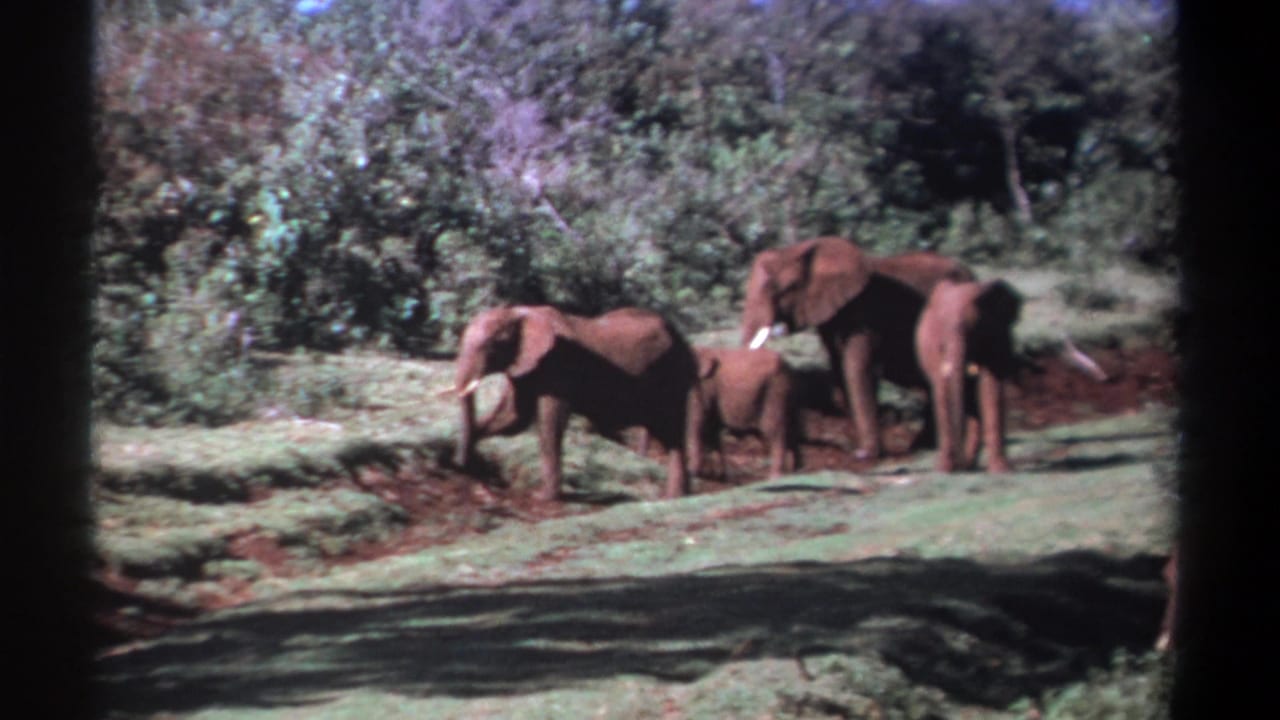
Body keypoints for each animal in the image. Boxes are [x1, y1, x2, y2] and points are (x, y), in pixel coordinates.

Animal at [453, 305, 700, 501]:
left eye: (492, 345)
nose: (462, 467)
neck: (519, 312)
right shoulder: (525, 366)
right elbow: (512, 418)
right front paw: (473, 455)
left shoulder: (558, 363)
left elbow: (550, 421)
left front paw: (543, 497)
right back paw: (676, 496)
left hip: (672, 374)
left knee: (671, 429)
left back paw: (674, 497)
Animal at [685, 346, 803, 480]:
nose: (692, 471)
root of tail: (788, 367)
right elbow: (712, 430)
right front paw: (722, 476)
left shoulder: (700, 388)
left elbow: (698, 424)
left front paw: (694, 473)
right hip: (787, 396)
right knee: (792, 429)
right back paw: (795, 471)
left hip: (775, 392)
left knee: (775, 431)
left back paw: (775, 477)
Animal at [740, 236, 974, 461]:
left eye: (780, 289)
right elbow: (840, 369)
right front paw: (858, 449)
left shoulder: (865, 313)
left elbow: (857, 369)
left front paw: (865, 455)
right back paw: (923, 447)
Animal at [914, 278, 1023, 473]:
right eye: (941, 328)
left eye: (974, 328)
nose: (960, 464)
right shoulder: (935, 349)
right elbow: (942, 389)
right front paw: (945, 470)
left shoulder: (998, 336)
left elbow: (992, 387)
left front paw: (1001, 470)